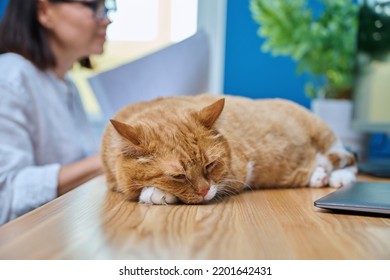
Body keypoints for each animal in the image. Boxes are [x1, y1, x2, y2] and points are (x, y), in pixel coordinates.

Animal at [100, 93, 356, 205]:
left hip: (326, 136)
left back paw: (336, 177)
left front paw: (155, 193)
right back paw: (319, 176)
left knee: (349, 160)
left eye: (211, 165)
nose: (204, 191)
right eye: (179, 175)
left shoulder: (239, 173)